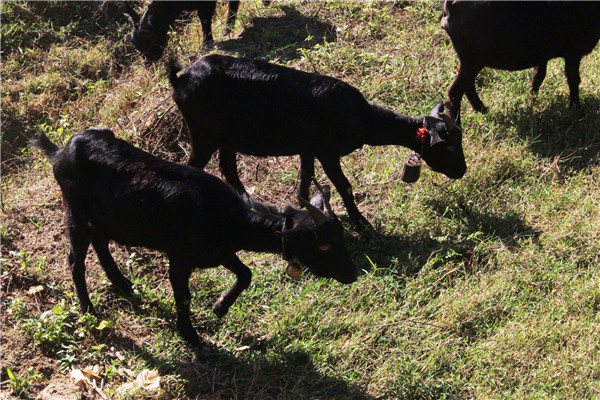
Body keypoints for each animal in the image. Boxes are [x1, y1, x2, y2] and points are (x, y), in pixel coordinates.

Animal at [29, 129, 356, 346]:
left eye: (342, 237)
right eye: (322, 245)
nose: (352, 275)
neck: (228, 217)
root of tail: (60, 152)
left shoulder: (219, 251)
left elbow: (246, 273)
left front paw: (219, 307)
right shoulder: (180, 258)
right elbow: (184, 295)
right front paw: (191, 336)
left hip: (105, 218)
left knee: (100, 242)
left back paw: (122, 283)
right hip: (74, 212)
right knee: (75, 260)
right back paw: (89, 310)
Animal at [166, 55, 466, 228]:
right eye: (449, 146)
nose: (462, 171)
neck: (362, 117)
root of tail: (180, 79)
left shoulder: (307, 147)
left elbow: (305, 174)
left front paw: (302, 204)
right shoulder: (326, 150)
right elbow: (344, 186)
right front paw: (360, 222)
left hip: (225, 137)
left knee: (227, 168)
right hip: (202, 133)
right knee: (196, 167)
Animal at [440, 0, 600, 121]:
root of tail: (450, 7)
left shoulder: (543, 53)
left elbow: (539, 75)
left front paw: (530, 100)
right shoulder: (573, 52)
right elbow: (573, 80)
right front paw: (576, 109)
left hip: (469, 61)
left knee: (467, 86)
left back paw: (482, 109)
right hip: (473, 60)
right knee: (455, 91)